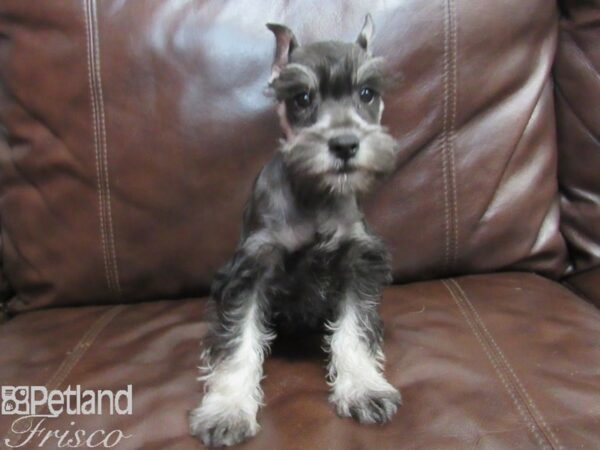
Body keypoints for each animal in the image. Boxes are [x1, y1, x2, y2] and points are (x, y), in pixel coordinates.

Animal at [190, 14, 400, 446]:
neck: (316, 194)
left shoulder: (358, 263)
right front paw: (227, 410)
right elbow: (238, 342)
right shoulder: (249, 271)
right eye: (302, 97)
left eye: (367, 93)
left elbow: (354, 329)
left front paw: (364, 388)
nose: (344, 144)